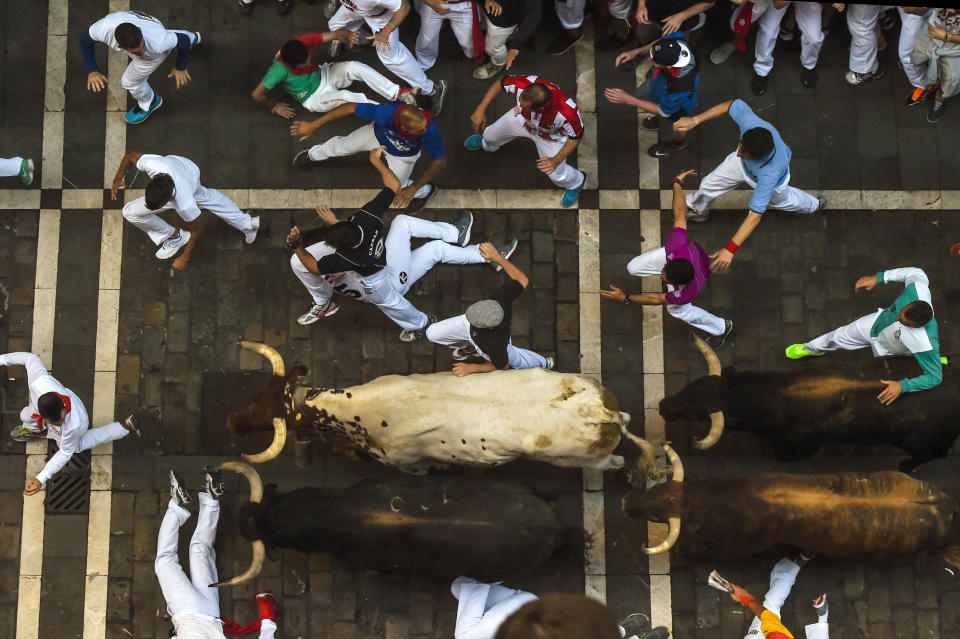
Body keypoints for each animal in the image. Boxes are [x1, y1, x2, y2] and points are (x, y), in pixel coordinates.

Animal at [236, 342, 664, 478]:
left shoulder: (407, 464)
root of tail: (599, 412)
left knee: (612, 463)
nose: (232, 422)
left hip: (584, 460)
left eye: (268, 412)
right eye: (257, 391)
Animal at [660, 336, 960, 470]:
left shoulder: (797, 445)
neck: (770, 394)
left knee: (934, 454)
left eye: (699, 412)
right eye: (691, 385)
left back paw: (906, 465)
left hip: (921, 443)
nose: (663, 405)